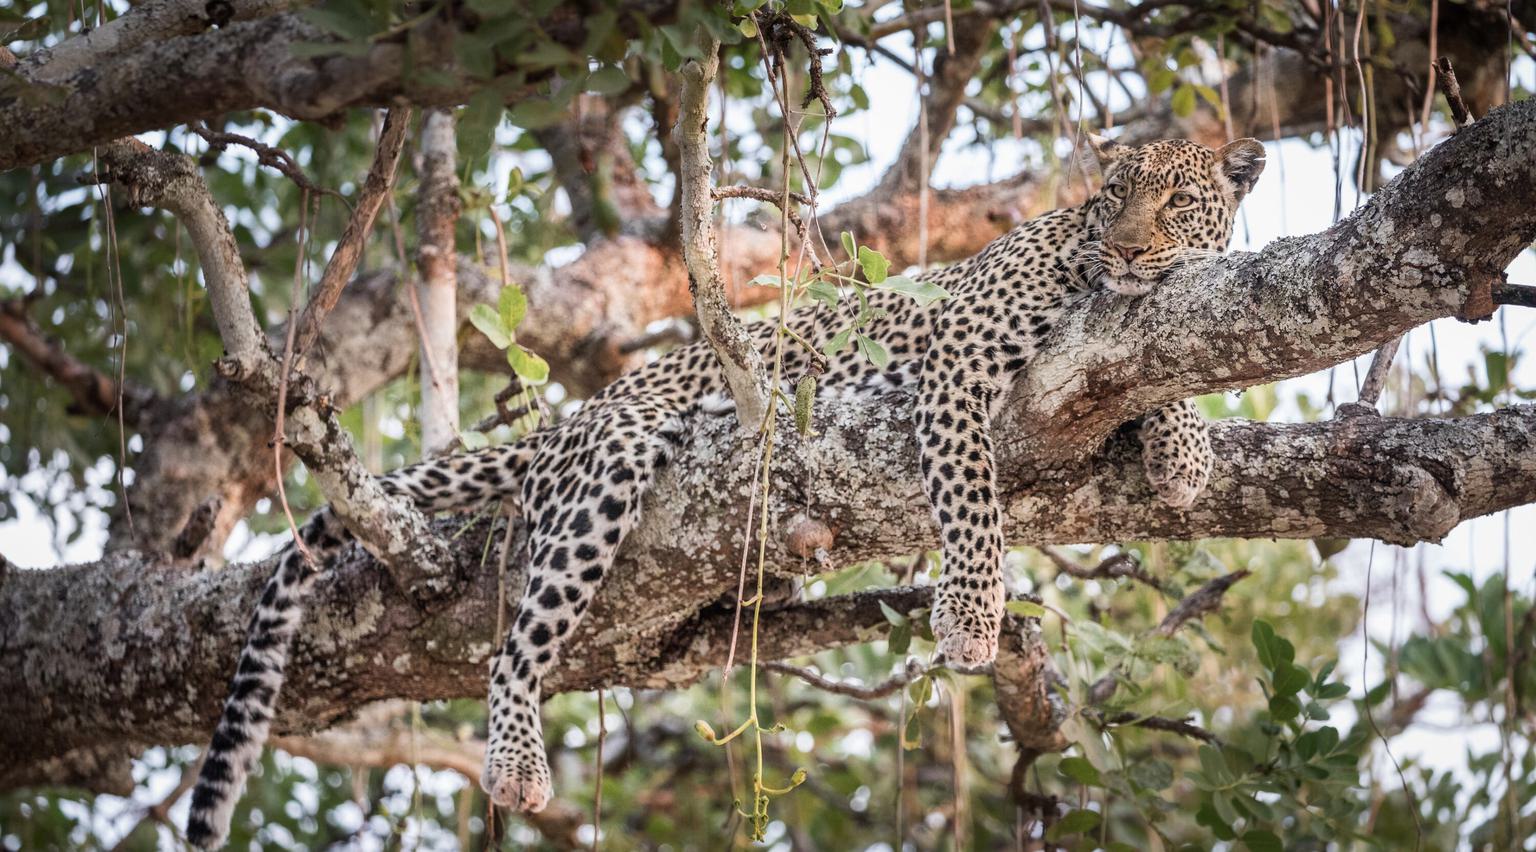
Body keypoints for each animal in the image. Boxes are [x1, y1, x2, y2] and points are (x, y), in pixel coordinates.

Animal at [185, 133, 1265, 848]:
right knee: (513, 646)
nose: (1127, 249)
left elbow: (1160, 376)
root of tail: (586, 407)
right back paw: (518, 763)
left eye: (1176, 203)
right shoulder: (958, 358)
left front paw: (1181, 452)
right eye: (1115, 195)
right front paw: (970, 615)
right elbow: (969, 496)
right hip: (608, 472)